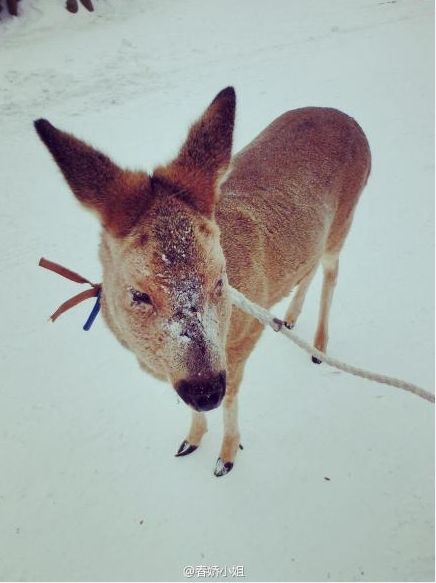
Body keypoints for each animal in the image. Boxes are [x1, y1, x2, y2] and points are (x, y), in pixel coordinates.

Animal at [34, 88, 370, 480]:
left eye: (220, 279)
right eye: (139, 294)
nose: (206, 390)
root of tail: (348, 119)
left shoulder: (244, 337)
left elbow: (233, 396)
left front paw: (226, 457)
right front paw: (190, 440)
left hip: (345, 219)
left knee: (331, 272)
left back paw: (318, 346)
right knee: (311, 267)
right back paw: (289, 318)